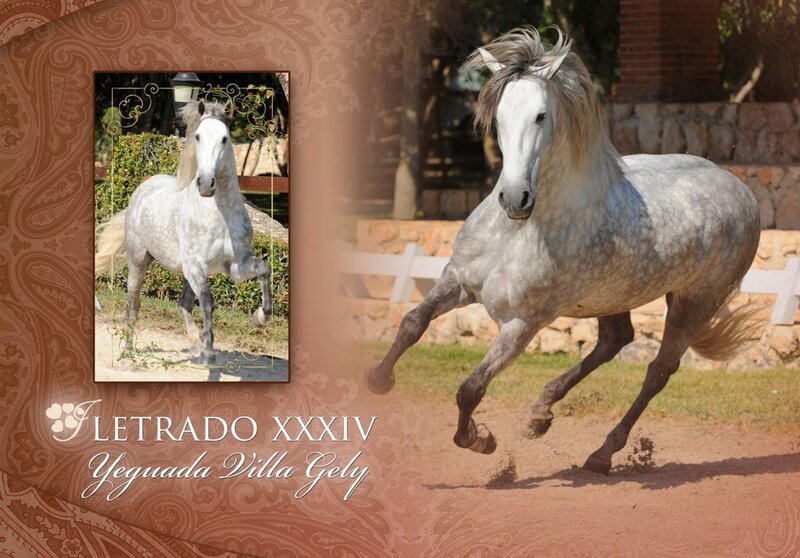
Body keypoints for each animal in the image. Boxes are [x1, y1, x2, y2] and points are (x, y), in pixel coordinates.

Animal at [95, 100, 272, 365]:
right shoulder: (197, 266)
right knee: (134, 305)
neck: (219, 214)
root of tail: (144, 187)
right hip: (139, 262)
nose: (206, 184)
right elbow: (208, 303)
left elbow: (263, 269)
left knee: (184, 303)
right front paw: (209, 352)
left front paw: (260, 317)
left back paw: (195, 346)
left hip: (187, 272)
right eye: (198, 136)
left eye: (224, 138)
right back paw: (128, 354)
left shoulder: (234, 265)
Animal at [365, 27, 761, 475]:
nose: (514, 198)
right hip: (613, 297)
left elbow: (470, 389)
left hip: (694, 303)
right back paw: (540, 414)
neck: (519, 232)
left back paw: (601, 453)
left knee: (659, 371)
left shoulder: (521, 324)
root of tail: (741, 188)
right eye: (498, 116)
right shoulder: (458, 280)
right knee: (615, 341)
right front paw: (378, 380)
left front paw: (481, 440)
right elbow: (412, 323)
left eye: (540, 115)